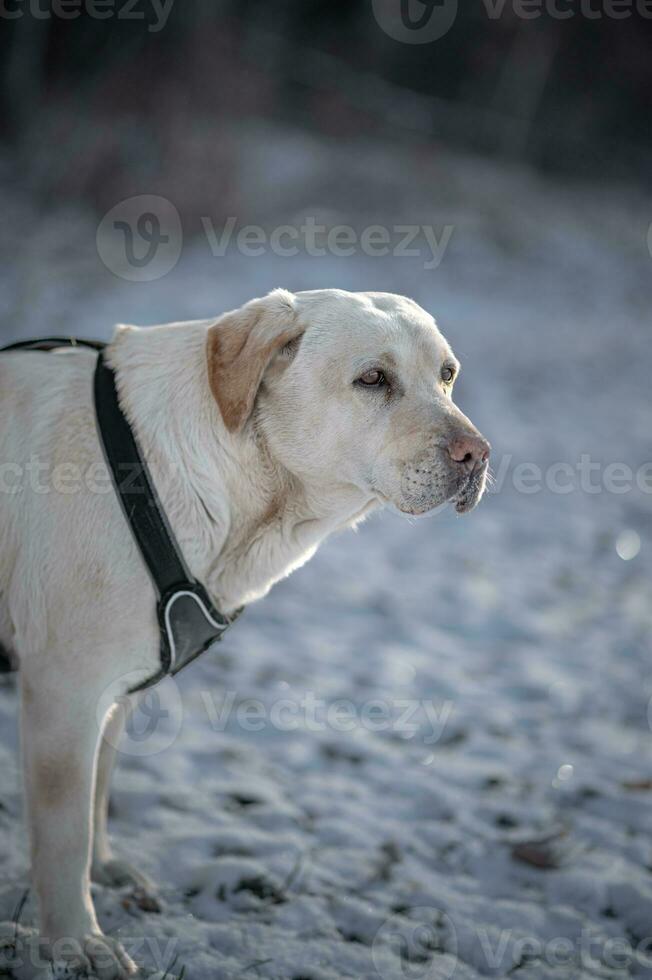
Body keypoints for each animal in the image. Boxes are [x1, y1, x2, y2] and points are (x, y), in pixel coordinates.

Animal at [0, 288, 488, 976]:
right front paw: (77, 941)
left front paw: (105, 871)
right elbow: (63, 834)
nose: (478, 455)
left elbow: (95, 798)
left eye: (447, 375)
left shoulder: (113, 693)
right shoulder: (63, 695)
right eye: (373, 379)